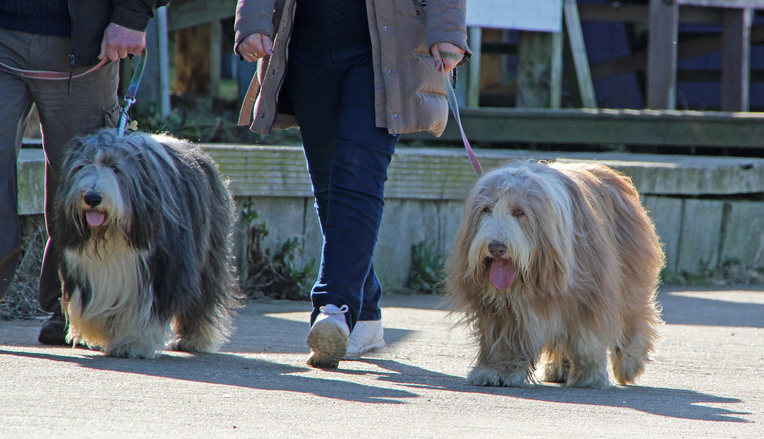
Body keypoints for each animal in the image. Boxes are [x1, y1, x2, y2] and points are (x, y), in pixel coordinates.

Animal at [54, 127, 239, 358]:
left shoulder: (158, 270)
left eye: (116, 168)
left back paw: (195, 339)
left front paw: (133, 343)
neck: (112, 234)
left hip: (207, 255)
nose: (92, 197)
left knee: (204, 296)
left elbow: (147, 311)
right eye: (82, 166)